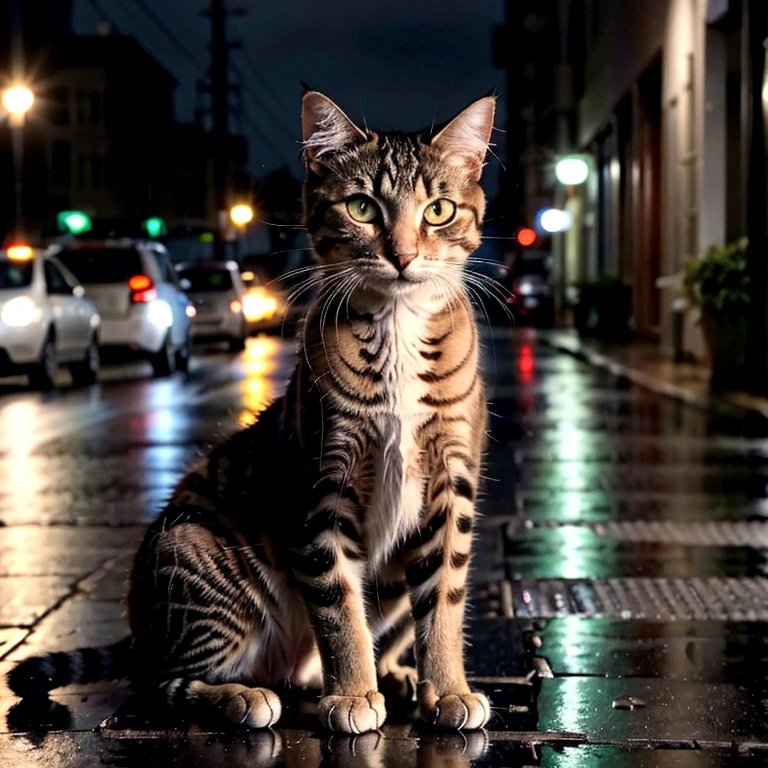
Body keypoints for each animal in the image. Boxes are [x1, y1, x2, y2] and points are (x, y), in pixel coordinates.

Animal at [9, 90, 498, 736]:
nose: (404, 255)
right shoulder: (320, 486)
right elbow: (338, 606)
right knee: (160, 681)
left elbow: (442, 599)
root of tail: (141, 633)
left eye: (439, 210)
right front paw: (353, 692)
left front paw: (446, 688)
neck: (397, 325)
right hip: (197, 553)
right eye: (363, 208)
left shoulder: (449, 484)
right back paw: (246, 695)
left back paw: (390, 675)